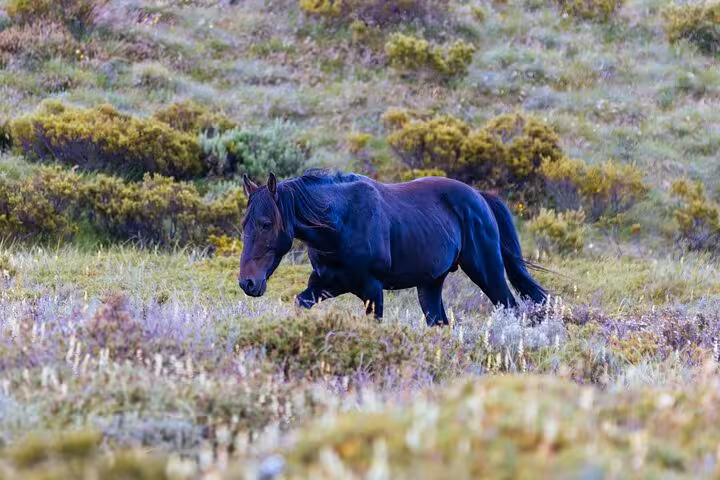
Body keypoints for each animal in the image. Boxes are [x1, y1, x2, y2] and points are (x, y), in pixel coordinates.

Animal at [238, 169, 547, 326]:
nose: (247, 283)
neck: (340, 224)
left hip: (487, 272)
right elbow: (300, 304)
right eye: (244, 224)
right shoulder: (325, 285)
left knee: (511, 308)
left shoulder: (372, 290)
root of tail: (480, 197)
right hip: (430, 285)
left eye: (266, 224)